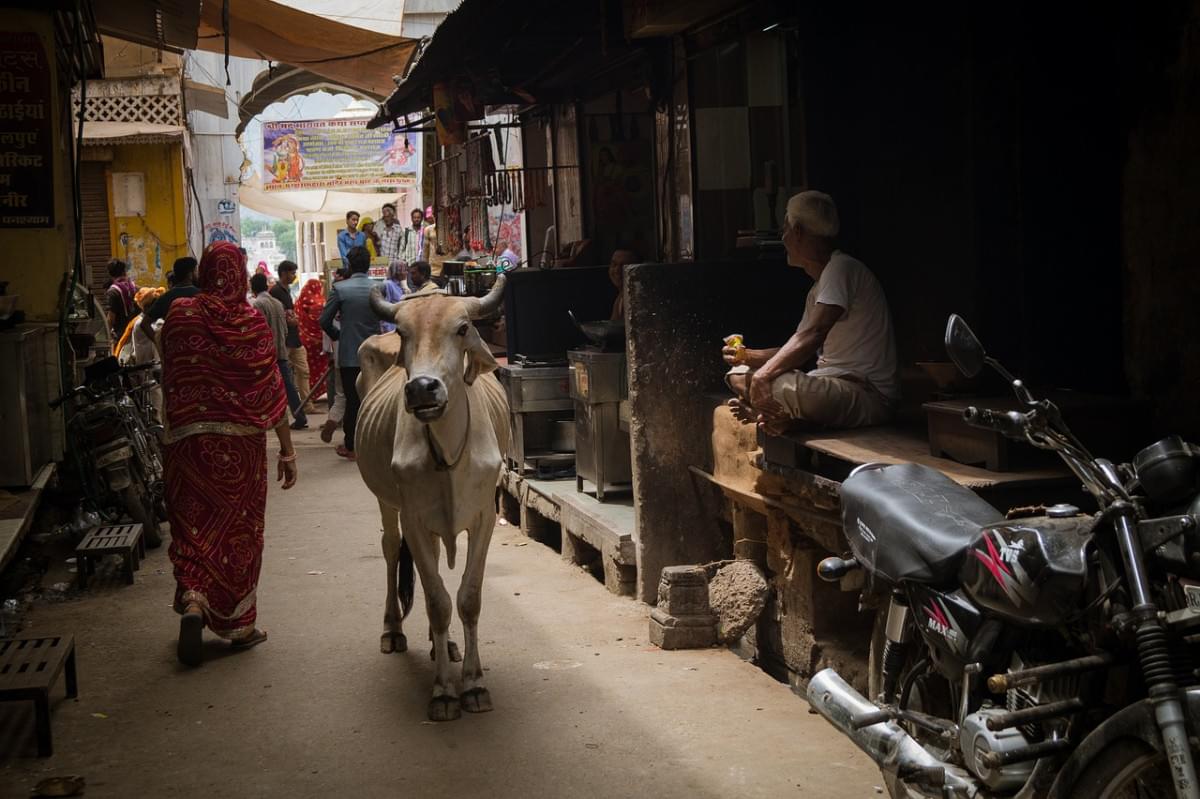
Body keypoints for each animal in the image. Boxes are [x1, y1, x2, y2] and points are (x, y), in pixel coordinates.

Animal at [352, 277, 508, 719]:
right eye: (404, 333)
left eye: (462, 329)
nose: (422, 388)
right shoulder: (415, 520)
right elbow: (438, 601)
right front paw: (444, 691)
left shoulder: (484, 518)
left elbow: (467, 599)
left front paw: (473, 684)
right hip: (388, 504)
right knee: (391, 549)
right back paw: (394, 629)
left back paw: (446, 644)